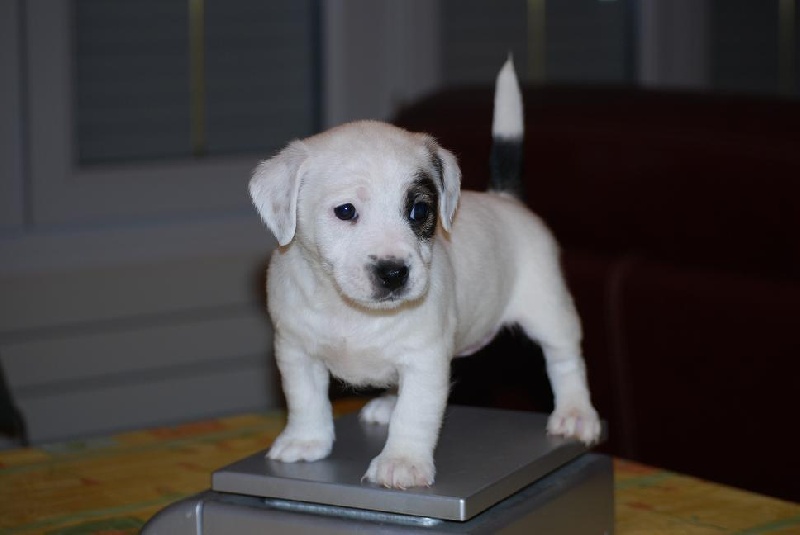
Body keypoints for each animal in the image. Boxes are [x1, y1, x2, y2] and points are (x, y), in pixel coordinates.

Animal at [248, 58, 601, 489]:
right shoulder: (296, 351)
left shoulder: (425, 361)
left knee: (565, 360)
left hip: (548, 309)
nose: (394, 272)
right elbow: (305, 399)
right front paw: (306, 440)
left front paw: (401, 461)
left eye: (419, 211)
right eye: (345, 211)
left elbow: (414, 415)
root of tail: (505, 200)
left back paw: (576, 413)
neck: (350, 310)